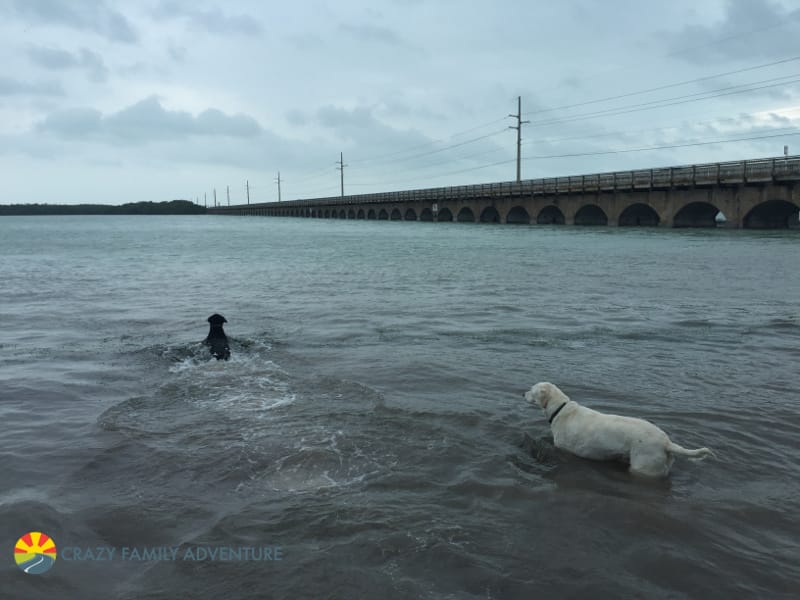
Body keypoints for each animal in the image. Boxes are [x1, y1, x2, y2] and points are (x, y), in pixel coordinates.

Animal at [520, 384, 716, 478]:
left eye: (531, 389)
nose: (522, 393)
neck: (560, 409)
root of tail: (666, 443)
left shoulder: (564, 448)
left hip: (644, 467)